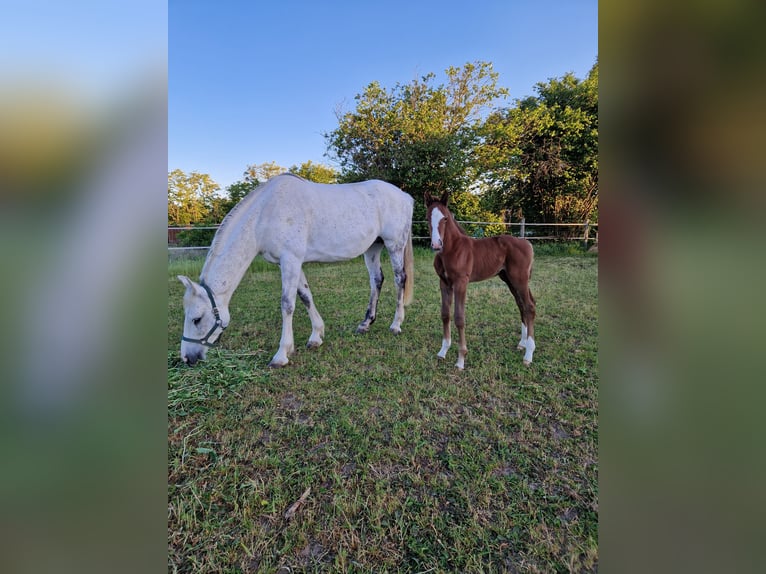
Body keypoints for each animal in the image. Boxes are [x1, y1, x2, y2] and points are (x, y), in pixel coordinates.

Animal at [178, 173, 414, 366]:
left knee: (399, 279)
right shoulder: (291, 262)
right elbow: (305, 296)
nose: (187, 358)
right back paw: (365, 323)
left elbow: (287, 304)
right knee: (377, 279)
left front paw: (281, 354)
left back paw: (396, 324)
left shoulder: (290, 259)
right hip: (373, 247)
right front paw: (316, 336)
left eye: (196, 319)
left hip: (394, 245)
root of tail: (405, 196)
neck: (265, 214)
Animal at [428, 194, 536, 372]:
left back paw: (528, 355)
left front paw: (461, 360)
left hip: (520, 279)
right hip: (509, 279)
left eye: (445, 218)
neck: (453, 249)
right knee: (522, 306)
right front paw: (443, 351)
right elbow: (445, 314)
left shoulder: (461, 283)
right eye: (427, 217)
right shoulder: (444, 283)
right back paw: (523, 343)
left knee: (529, 307)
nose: (436, 244)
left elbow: (459, 318)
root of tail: (527, 242)